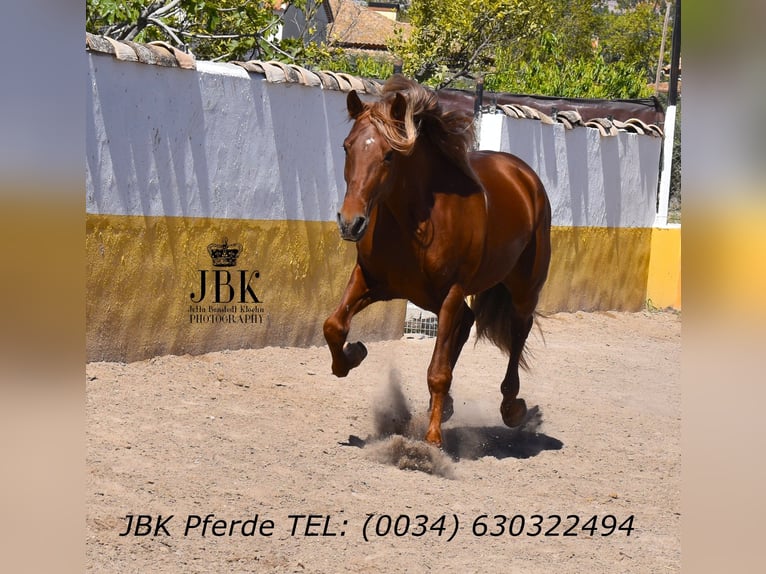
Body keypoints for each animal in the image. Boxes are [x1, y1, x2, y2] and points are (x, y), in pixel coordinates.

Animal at [324, 75, 551, 447]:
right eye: (347, 147)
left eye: (389, 154)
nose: (350, 222)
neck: (414, 221)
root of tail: (523, 174)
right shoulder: (370, 280)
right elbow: (333, 326)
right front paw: (352, 355)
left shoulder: (452, 291)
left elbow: (438, 371)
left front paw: (431, 441)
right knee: (467, 323)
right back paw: (445, 409)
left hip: (522, 288)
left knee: (519, 329)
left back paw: (512, 408)